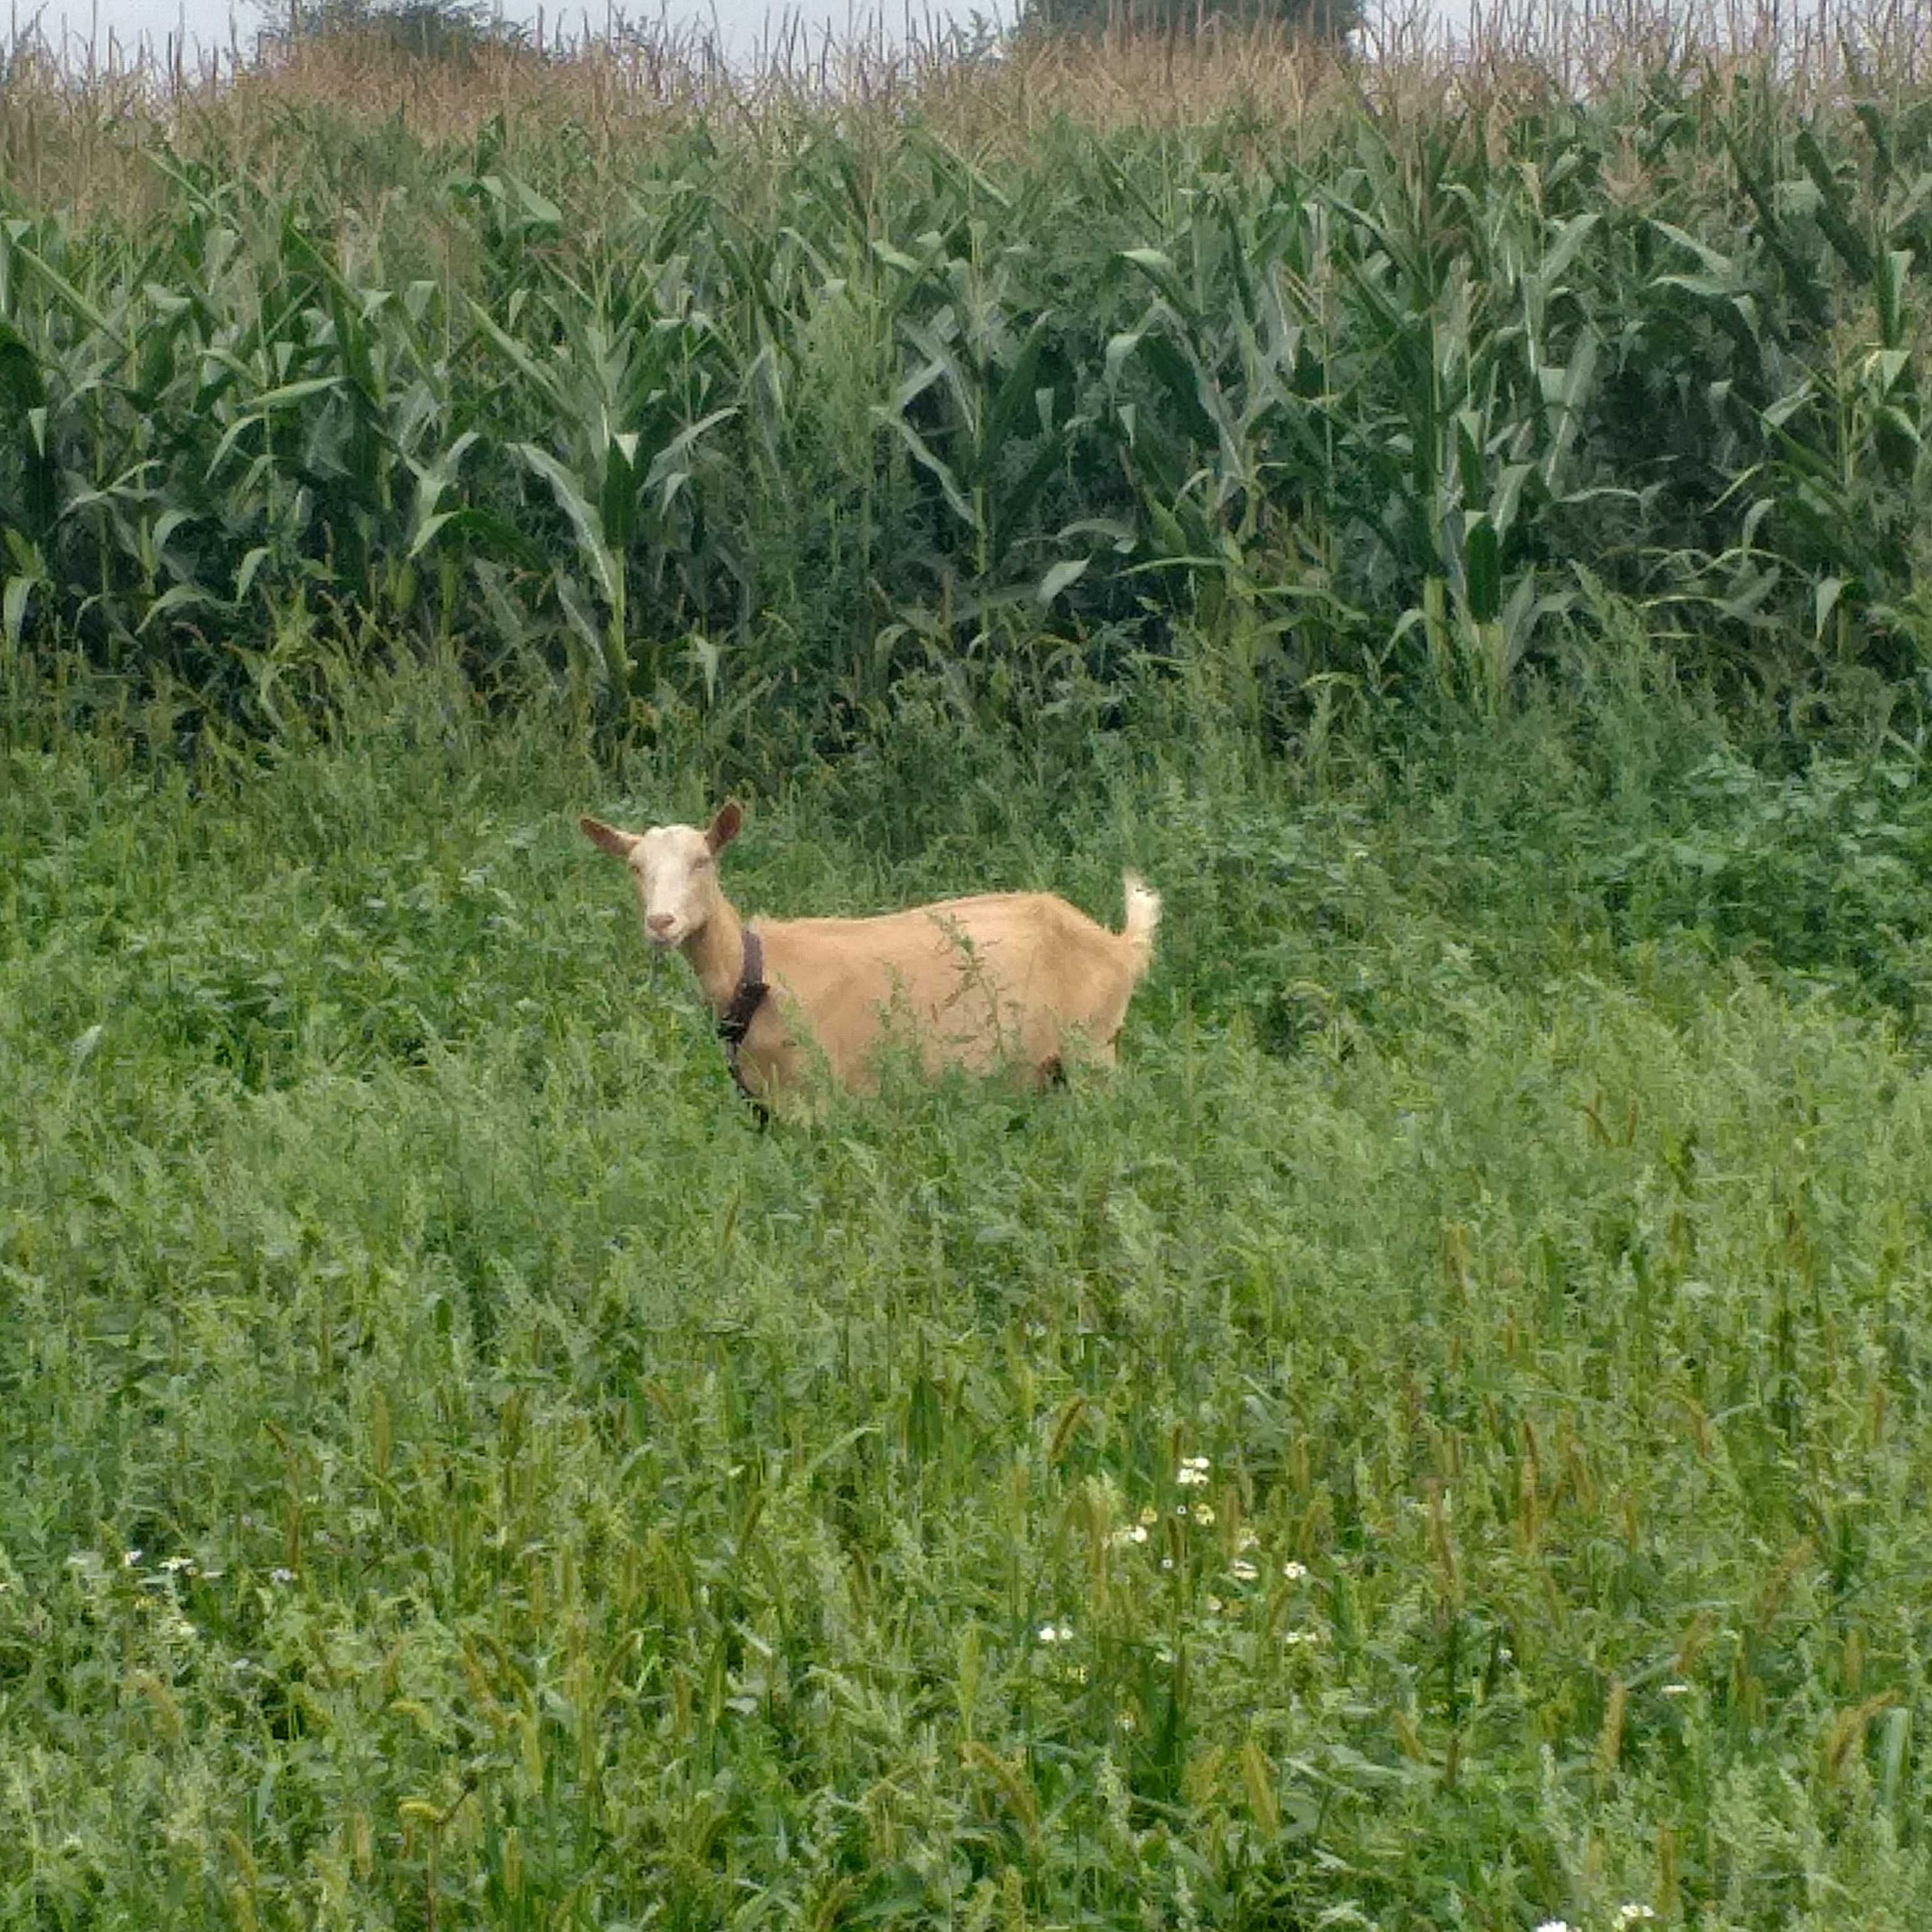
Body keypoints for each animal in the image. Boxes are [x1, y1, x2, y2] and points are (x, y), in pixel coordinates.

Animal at [579, 796, 1159, 1105]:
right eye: (635, 867)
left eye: (703, 860)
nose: (661, 922)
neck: (754, 972)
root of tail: (1118, 945)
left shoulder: (818, 1092)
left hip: (1094, 1048)